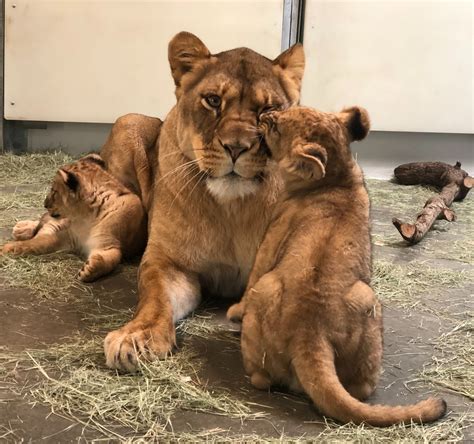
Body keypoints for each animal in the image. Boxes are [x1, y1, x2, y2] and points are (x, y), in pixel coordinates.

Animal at [103, 32, 308, 372]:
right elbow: (155, 297)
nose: (236, 147)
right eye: (213, 101)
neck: (231, 209)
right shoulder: (169, 262)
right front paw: (136, 336)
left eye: (267, 109)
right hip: (129, 122)